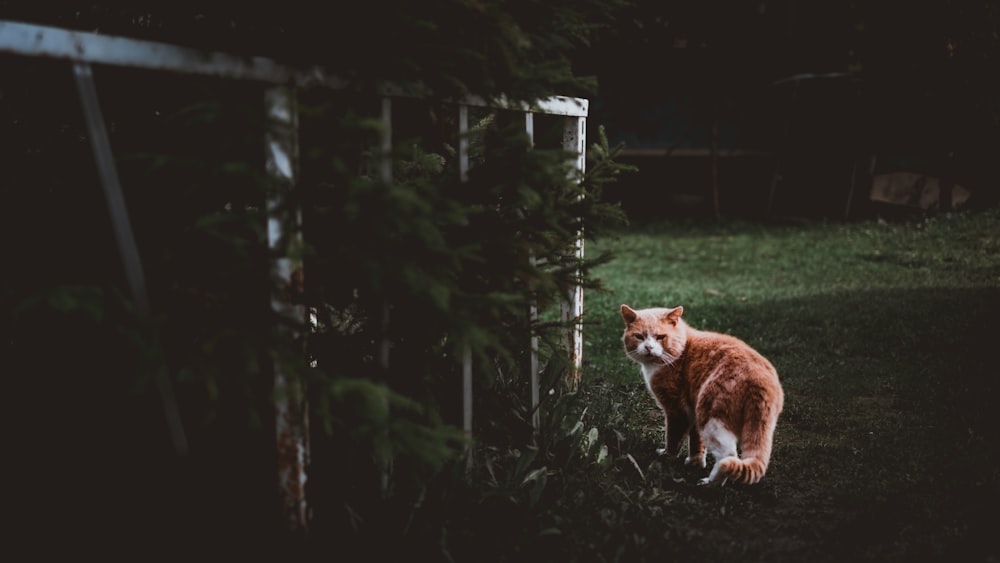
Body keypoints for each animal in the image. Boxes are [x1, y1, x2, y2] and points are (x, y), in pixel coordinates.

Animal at [620, 304, 784, 484]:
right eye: (639, 337)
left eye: (660, 337)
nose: (649, 347)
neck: (681, 352)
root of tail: (759, 379)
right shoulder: (693, 406)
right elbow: (696, 440)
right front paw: (695, 463)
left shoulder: (677, 409)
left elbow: (673, 438)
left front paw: (667, 457)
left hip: (712, 419)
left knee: (729, 456)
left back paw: (710, 483)